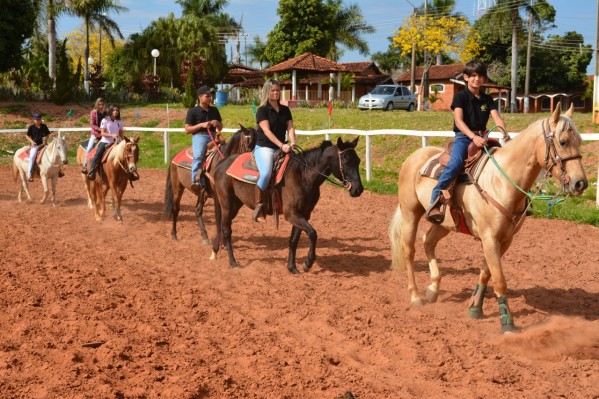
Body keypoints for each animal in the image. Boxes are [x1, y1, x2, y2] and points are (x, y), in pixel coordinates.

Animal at [209, 138, 364, 276]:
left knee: (222, 227)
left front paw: (292, 268)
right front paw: (308, 263)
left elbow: (294, 240)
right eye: (346, 160)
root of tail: (222, 163)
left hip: (235, 204)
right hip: (227, 204)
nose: (358, 189)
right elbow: (313, 233)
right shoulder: (292, 215)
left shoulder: (303, 214)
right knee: (226, 230)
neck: (303, 175)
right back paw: (233, 262)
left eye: (358, 161)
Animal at [390, 104, 592, 334]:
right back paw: (415, 297)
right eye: (563, 141)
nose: (580, 183)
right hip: (410, 213)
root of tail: (415, 156)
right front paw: (507, 322)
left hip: (444, 223)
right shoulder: (489, 238)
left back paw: (433, 289)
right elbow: (500, 280)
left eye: (579, 141)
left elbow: (487, 273)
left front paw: (475, 308)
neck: (501, 181)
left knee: (428, 241)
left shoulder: (504, 240)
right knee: (409, 250)